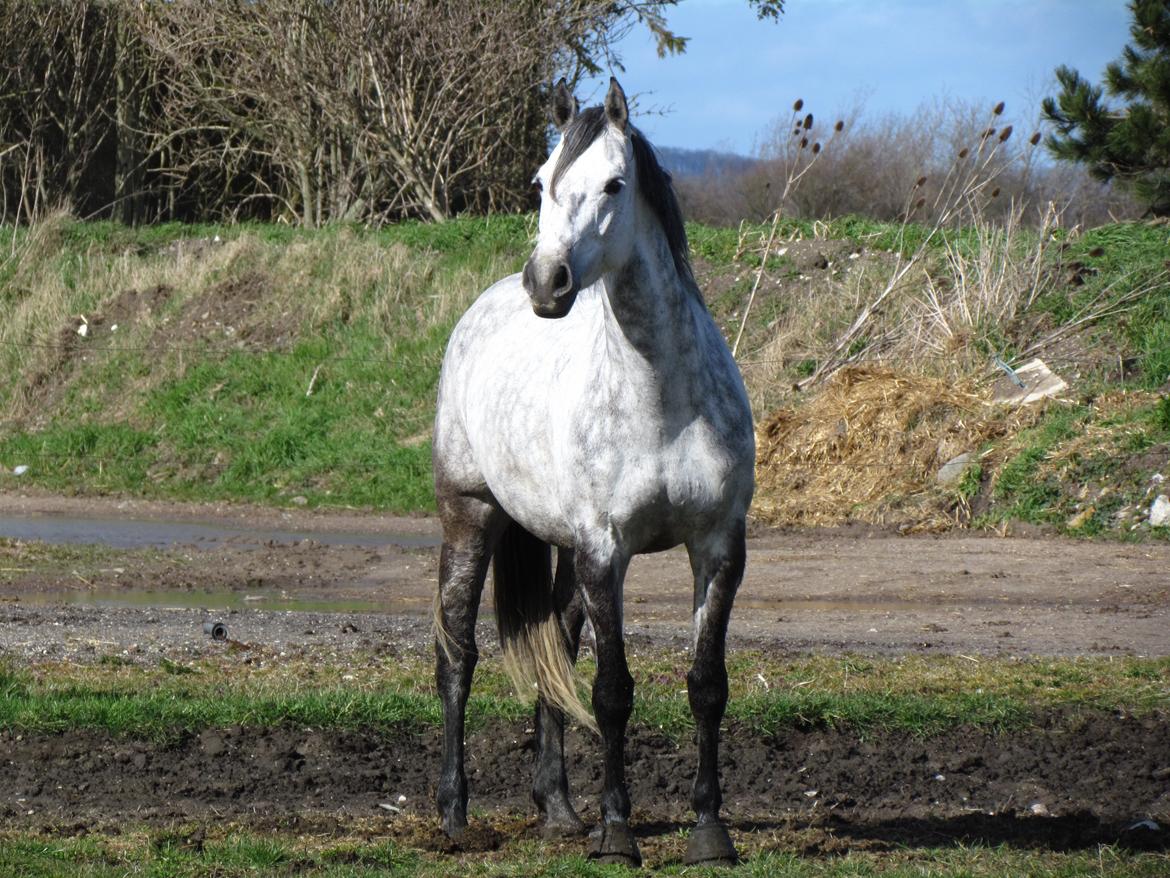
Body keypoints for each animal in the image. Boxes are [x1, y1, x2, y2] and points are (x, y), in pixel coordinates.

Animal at [435, 79, 753, 870]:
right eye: (540, 182)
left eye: (613, 184)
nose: (546, 283)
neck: (663, 399)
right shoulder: (607, 551)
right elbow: (612, 691)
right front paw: (617, 834)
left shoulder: (718, 548)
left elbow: (706, 684)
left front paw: (710, 830)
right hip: (470, 517)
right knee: (457, 656)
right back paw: (453, 813)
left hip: (564, 552)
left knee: (555, 647)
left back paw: (557, 809)